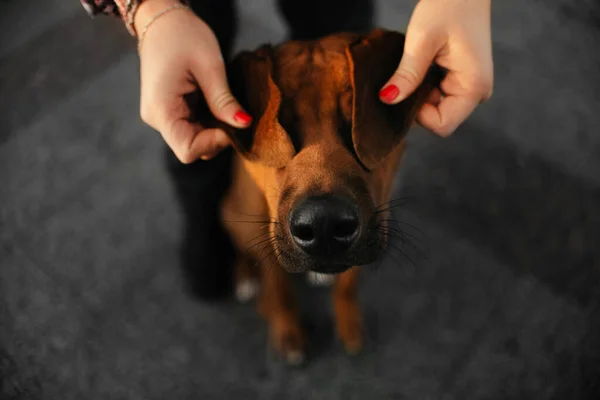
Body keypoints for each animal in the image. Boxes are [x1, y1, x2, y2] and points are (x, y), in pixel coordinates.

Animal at [199, 28, 442, 366]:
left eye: (354, 121)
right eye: (282, 127)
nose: (323, 224)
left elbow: (347, 287)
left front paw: (348, 321)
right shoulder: (266, 235)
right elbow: (280, 290)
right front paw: (287, 329)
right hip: (235, 212)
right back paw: (246, 277)